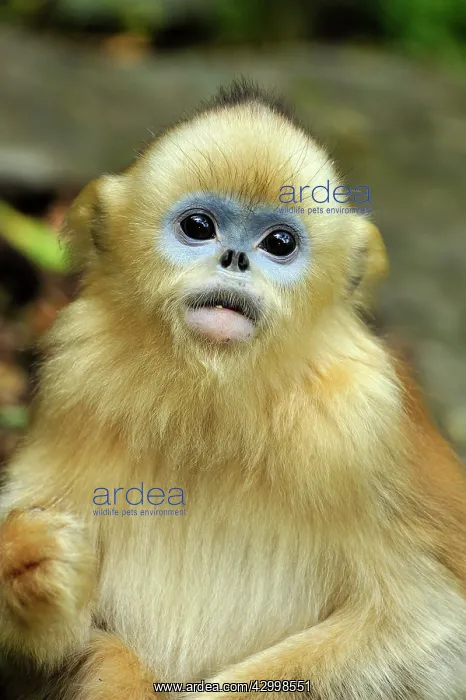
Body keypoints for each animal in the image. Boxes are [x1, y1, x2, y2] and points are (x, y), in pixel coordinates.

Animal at [0, 79, 465, 700]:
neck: (214, 405)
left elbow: (431, 630)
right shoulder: (75, 378)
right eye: (199, 228)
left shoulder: (364, 423)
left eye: (279, 242)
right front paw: (27, 563)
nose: (235, 258)